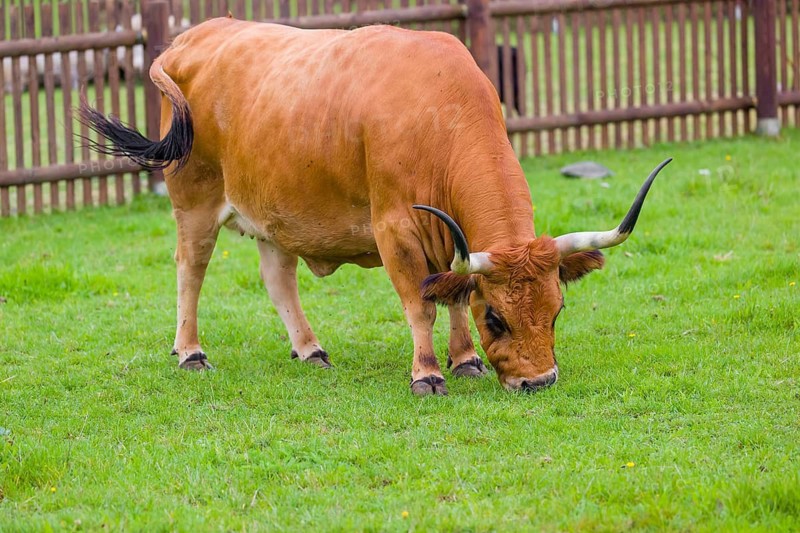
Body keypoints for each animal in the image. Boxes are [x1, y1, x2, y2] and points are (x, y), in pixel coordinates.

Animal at [80, 17, 670, 395]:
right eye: (498, 318)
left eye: (557, 310)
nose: (538, 381)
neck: (440, 112)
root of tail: (189, 39)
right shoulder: (397, 231)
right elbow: (420, 303)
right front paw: (427, 374)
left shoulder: (446, 242)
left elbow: (453, 294)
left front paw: (465, 361)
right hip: (195, 203)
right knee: (191, 271)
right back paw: (192, 352)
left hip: (274, 213)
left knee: (278, 278)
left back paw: (309, 348)